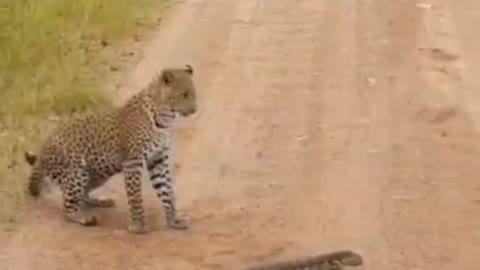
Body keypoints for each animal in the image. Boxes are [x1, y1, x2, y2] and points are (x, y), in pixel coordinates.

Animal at [23, 64, 197, 233]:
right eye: (184, 94)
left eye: (194, 94)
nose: (194, 109)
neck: (165, 118)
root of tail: (42, 151)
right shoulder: (133, 161)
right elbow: (135, 194)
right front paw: (138, 225)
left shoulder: (158, 159)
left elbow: (167, 190)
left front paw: (174, 220)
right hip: (76, 172)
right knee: (67, 205)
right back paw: (85, 218)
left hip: (99, 173)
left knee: (82, 194)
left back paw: (99, 201)